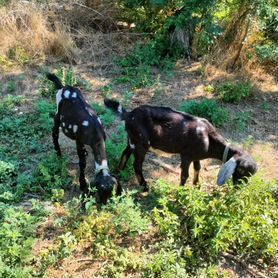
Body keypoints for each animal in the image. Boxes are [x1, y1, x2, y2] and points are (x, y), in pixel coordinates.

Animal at [46, 74, 120, 204]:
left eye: (112, 193)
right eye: (100, 191)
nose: (104, 204)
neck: (95, 132)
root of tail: (64, 87)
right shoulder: (79, 141)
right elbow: (82, 163)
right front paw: (82, 183)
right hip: (58, 114)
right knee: (54, 132)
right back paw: (58, 153)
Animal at [104, 97, 258, 191]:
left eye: (251, 174)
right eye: (241, 170)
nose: (239, 188)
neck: (208, 137)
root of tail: (128, 114)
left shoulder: (196, 156)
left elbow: (198, 168)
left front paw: (197, 186)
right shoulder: (186, 156)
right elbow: (184, 175)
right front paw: (181, 191)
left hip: (132, 139)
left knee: (125, 152)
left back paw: (119, 171)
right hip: (141, 143)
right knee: (137, 165)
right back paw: (145, 187)